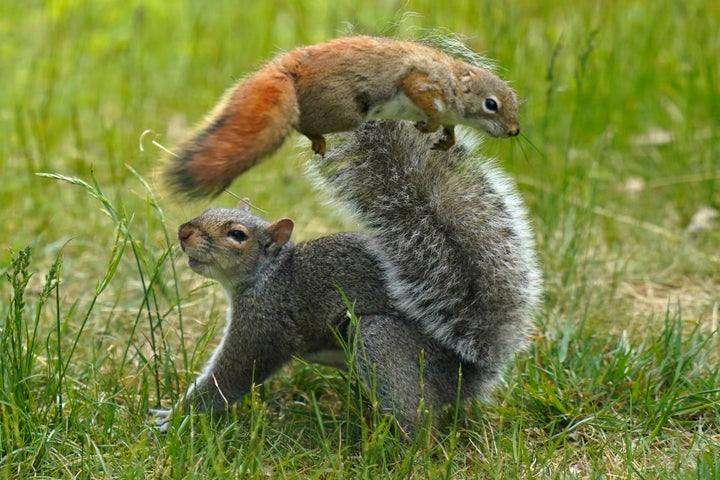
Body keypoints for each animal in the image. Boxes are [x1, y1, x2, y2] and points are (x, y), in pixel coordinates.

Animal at [153, 121, 540, 436]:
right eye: (207, 210)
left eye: (237, 235)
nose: (184, 232)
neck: (270, 273)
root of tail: (467, 374)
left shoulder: (266, 320)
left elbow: (232, 374)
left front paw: (175, 419)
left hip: (381, 341)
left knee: (419, 421)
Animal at [166, 35, 520, 197]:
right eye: (491, 104)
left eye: (515, 102)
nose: (515, 131)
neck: (453, 79)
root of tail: (294, 64)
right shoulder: (420, 80)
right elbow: (426, 104)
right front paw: (429, 124)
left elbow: (449, 129)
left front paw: (447, 141)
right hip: (343, 110)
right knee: (302, 122)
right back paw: (317, 138)